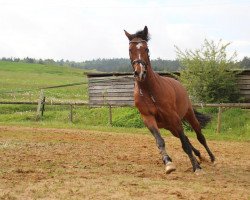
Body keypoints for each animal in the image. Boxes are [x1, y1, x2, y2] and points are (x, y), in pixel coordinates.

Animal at [124, 26, 215, 173]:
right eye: (130, 50)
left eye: (146, 49)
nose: (140, 72)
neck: (149, 91)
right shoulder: (148, 118)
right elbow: (160, 141)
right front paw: (168, 163)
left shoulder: (174, 117)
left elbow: (185, 144)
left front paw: (196, 167)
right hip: (170, 127)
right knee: (186, 138)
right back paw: (199, 156)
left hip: (187, 116)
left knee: (199, 136)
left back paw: (211, 158)